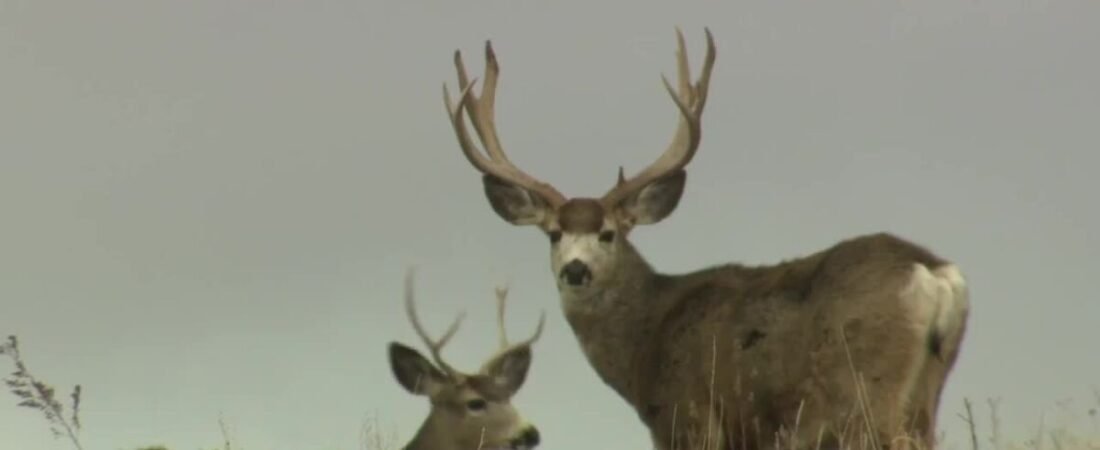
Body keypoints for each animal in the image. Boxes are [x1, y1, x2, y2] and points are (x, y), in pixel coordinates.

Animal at [439, 27, 970, 450]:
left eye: (608, 233)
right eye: (553, 233)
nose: (576, 269)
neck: (644, 343)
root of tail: (933, 273)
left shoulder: (687, 418)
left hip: (867, 392)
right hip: (925, 395)